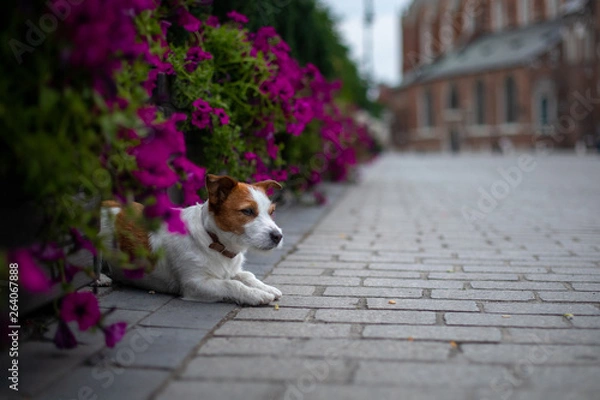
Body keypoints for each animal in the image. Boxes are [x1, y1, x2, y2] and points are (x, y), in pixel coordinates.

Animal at [95, 174, 286, 306]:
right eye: (247, 211)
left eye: (271, 212)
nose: (278, 236)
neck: (214, 241)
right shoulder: (195, 284)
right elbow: (231, 285)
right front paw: (256, 295)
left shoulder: (232, 270)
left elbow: (247, 275)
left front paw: (265, 287)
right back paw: (101, 278)